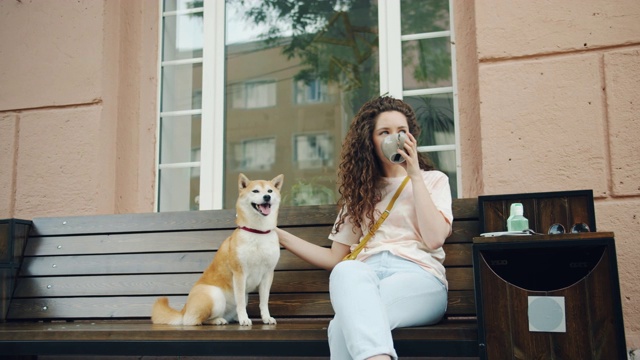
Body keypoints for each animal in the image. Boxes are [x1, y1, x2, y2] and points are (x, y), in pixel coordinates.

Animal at [151, 174, 284, 326]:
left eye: (270, 191)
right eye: (255, 191)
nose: (267, 197)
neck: (258, 232)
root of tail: (184, 309)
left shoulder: (268, 274)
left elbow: (264, 302)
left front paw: (266, 318)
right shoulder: (239, 274)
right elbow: (240, 302)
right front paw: (244, 319)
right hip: (215, 295)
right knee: (194, 320)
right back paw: (218, 320)